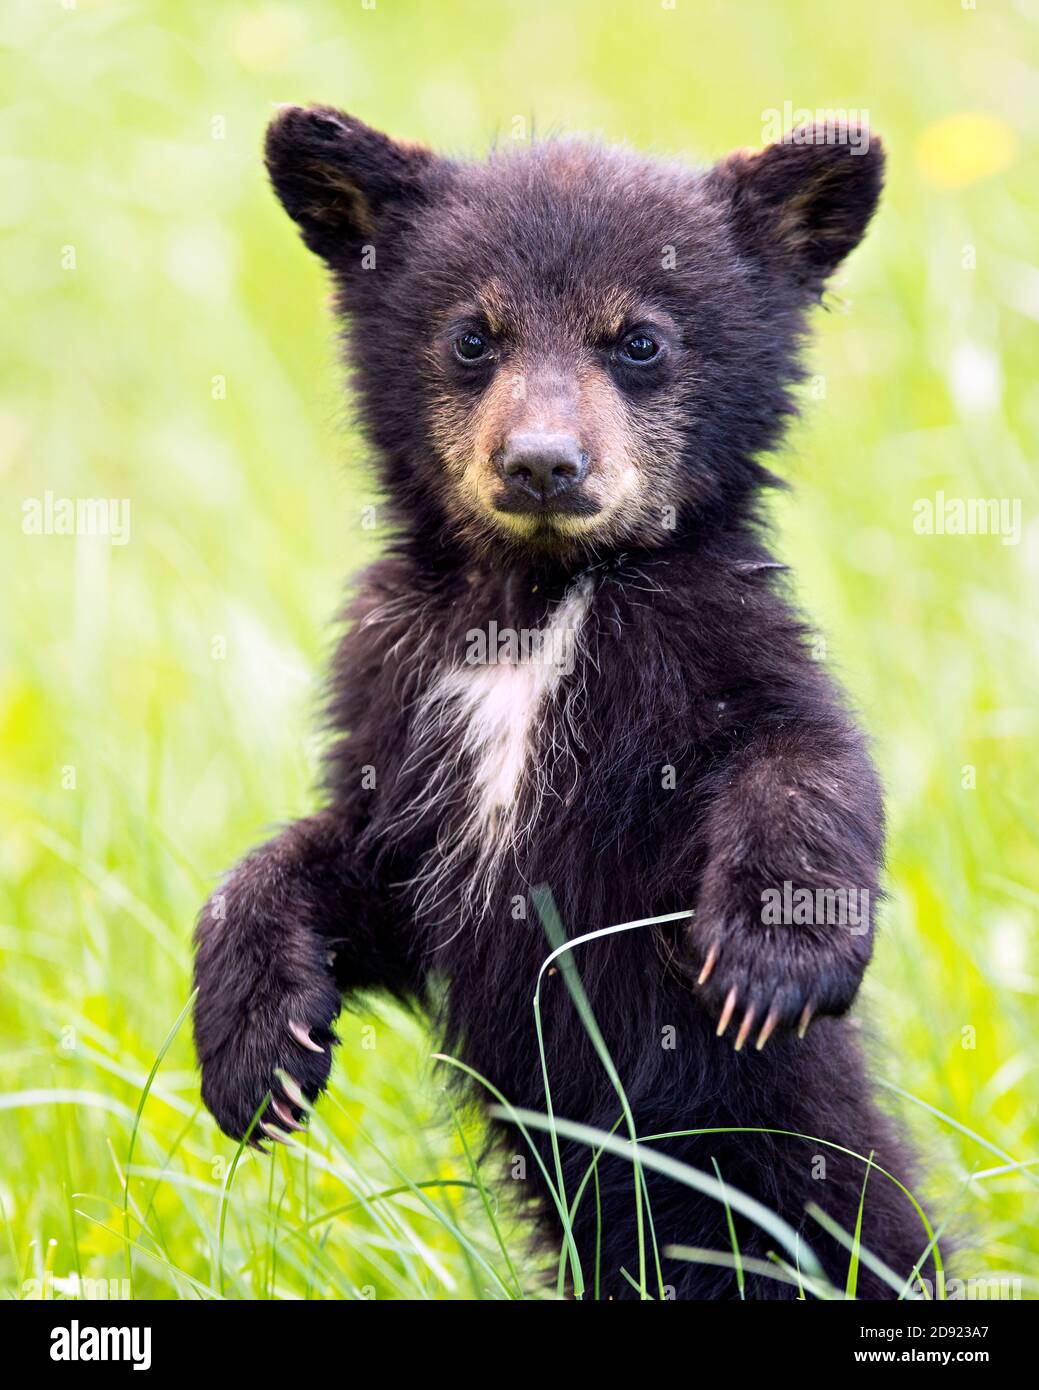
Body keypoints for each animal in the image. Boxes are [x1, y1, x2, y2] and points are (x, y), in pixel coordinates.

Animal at [192, 105, 941, 1300]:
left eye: (638, 342)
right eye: (472, 338)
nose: (542, 465)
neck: (534, 604)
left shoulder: (708, 653)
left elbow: (803, 754)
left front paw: (770, 960)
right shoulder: (401, 708)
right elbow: (337, 861)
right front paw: (253, 1049)